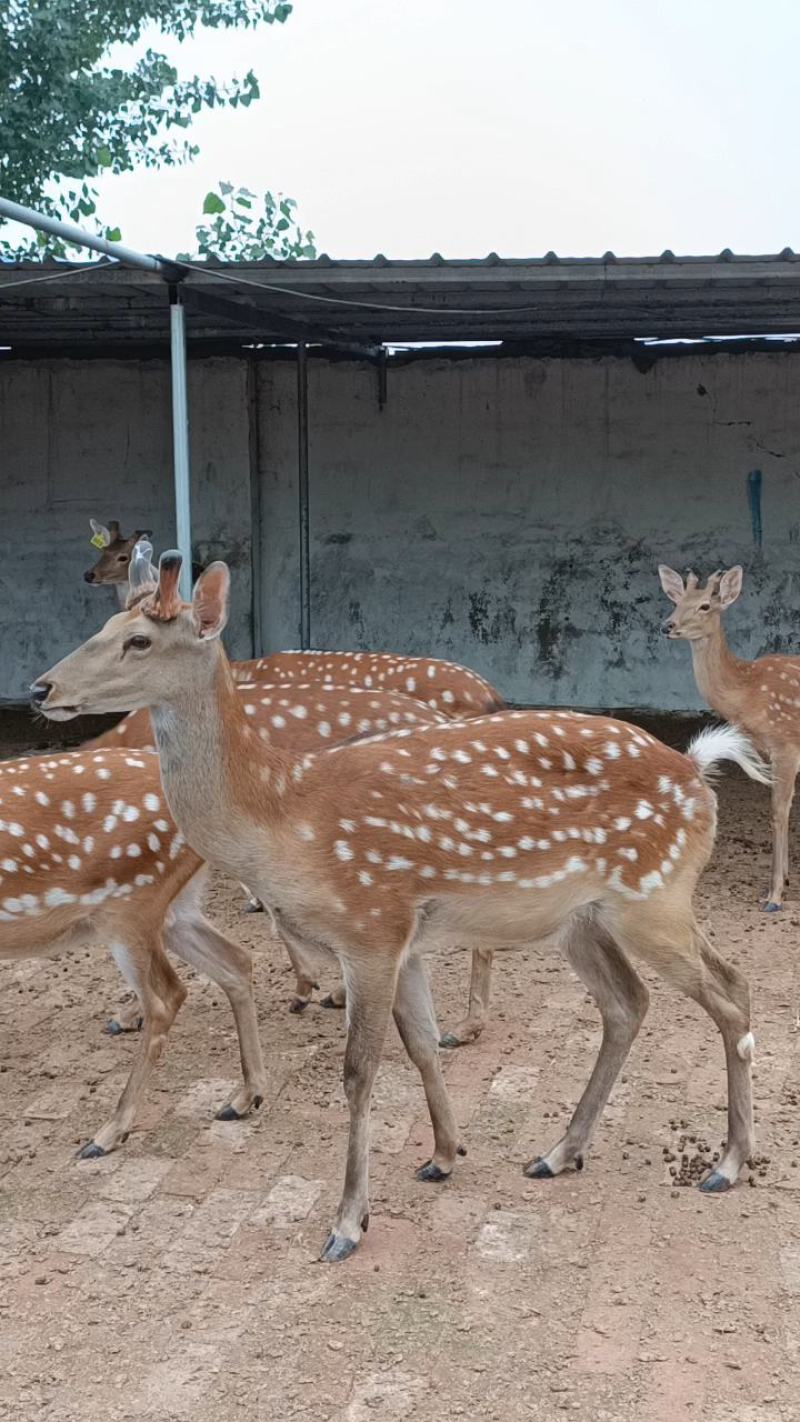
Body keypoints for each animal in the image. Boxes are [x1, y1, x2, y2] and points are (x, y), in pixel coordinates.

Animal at [0, 747, 267, 1157]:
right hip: (174, 907)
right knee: (236, 961)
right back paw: (243, 1098)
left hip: (130, 904)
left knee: (166, 997)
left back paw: (107, 1133)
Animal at [33, 545, 767, 1261]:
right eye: (104, 625)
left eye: (138, 640)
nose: (42, 688)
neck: (281, 820)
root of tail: (698, 772)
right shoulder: (406, 938)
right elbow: (421, 1045)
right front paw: (444, 1155)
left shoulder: (369, 928)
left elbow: (359, 1072)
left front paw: (347, 1224)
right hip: (585, 917)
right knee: (630, 1003)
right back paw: (560, 1152)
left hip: (655, 895)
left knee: (730, 992)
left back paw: (727, 1163)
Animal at [659, 563, 800, 913]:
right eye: (676, 601)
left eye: (705, 606)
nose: (667, 625)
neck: (747, 695)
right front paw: (784, 880)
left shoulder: (786, 743)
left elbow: (778, 811)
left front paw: (774, 897)